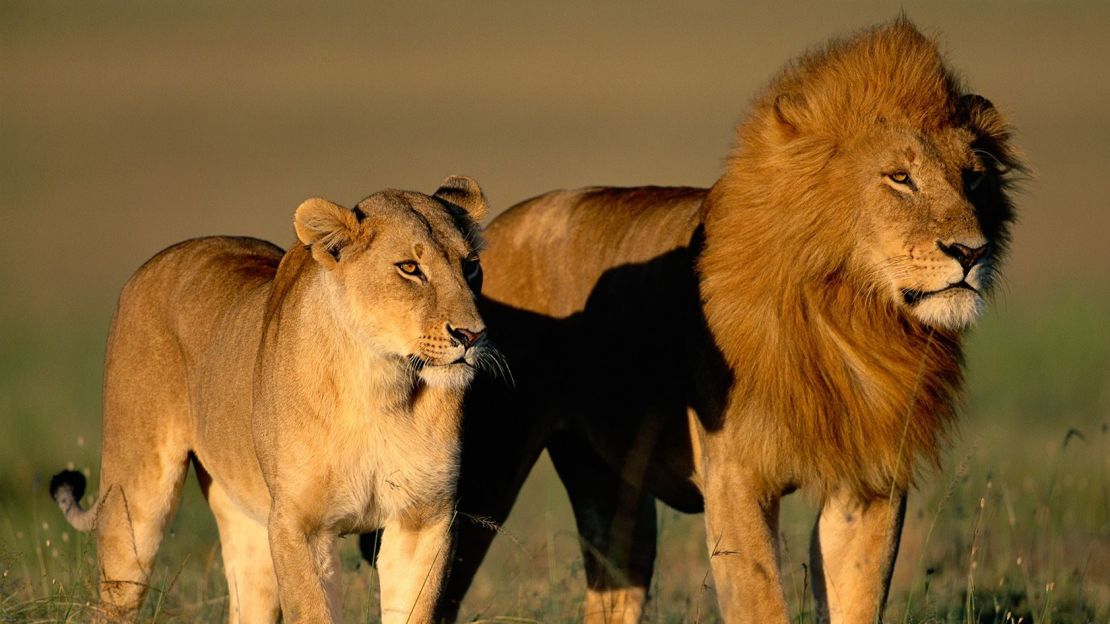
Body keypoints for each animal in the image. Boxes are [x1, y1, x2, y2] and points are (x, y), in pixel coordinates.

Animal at [47, 176, 490, 621]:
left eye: (470, 265)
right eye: (410, 268)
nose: (472, 335)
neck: (382, 384)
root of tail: (156, 261)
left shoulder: (424, 520)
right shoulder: (299, 525)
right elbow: (313, 612)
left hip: (246, 522)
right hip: (136, 501)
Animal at [435, 19, 1021, 621]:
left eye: (974, 179)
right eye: (899, 178)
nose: (971, 251)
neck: (850, 315)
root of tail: (488, 235)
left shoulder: (869, 481)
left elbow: (855, 601)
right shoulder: (735, 480)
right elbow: (761, 602)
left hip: (612, 492)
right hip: (483, 473)